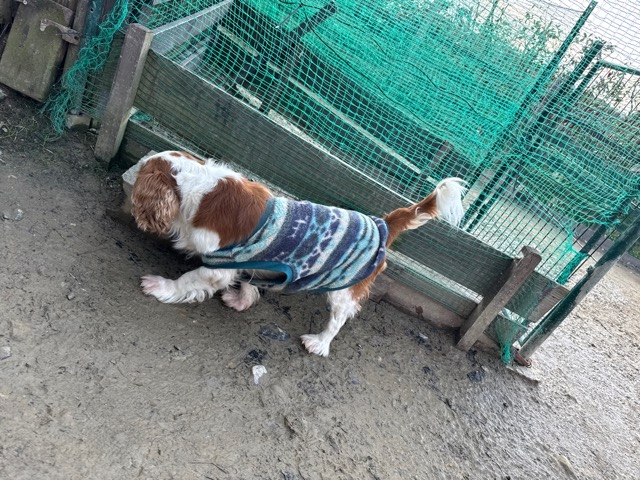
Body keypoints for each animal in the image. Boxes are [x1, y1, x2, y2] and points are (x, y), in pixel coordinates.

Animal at [130, 151, 466, 356]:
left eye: (141, 169)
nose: (131, 168)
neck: (200, 187)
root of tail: (383, 223)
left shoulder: (218, 265)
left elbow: (187, 281)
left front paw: (160, 286)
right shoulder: (253, 258)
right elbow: (250, 282)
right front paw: (242, 300)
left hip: (343, 289)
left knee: (338, 320)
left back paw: (319, 343)